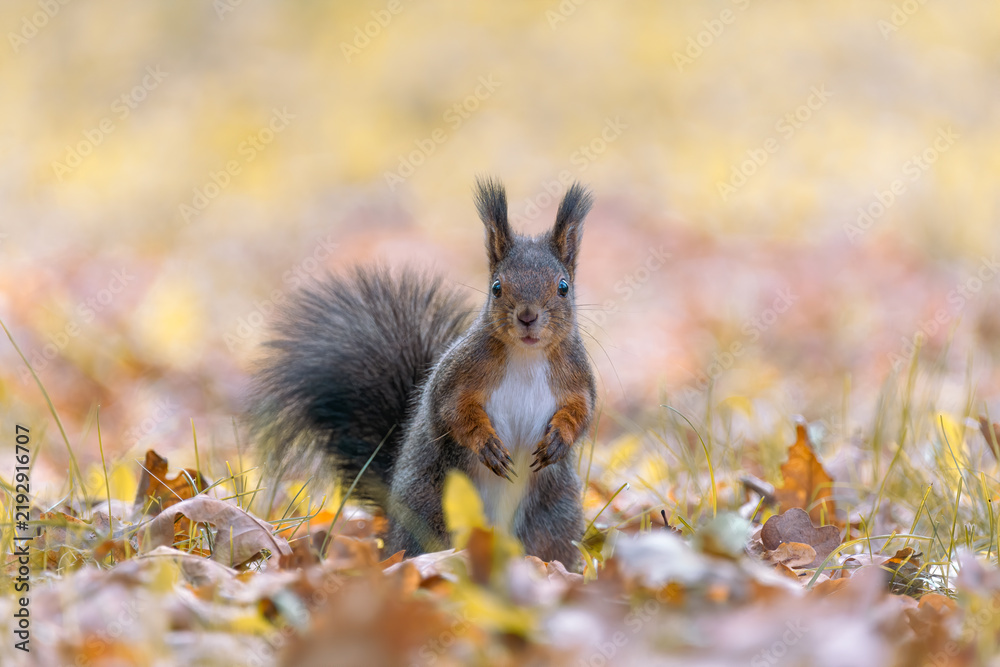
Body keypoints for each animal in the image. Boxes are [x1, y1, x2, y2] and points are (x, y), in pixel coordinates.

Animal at [249, 177, 596, 567]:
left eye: (563, 287)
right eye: (496, 287)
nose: (527, 316)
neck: (526, 354)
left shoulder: (579, 379)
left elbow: (582, 412)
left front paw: (559, 438)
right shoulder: (458, 375)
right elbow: (453, 412)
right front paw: (487, 444)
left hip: (555, 517)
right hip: (431, 510)